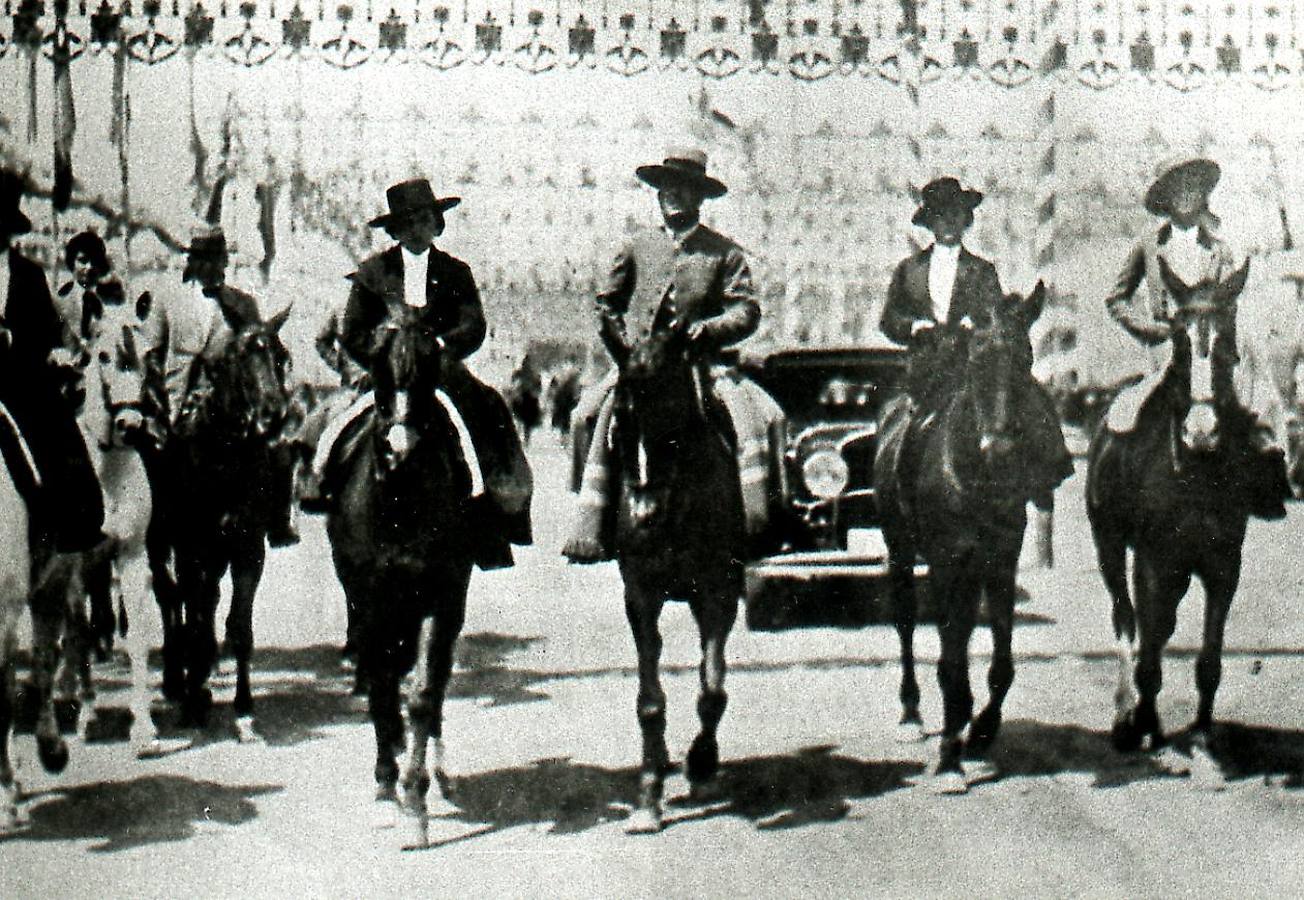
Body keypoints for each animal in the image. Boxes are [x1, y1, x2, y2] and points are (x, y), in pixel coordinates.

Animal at [153, 307, 292, 730]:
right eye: (241, 356)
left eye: (281, 357)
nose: (274, 415)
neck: (225, 456)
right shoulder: (192, 550)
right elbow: (194, 613)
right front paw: (193, 699)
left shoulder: (248, 550)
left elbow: (239, 626)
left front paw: (244, 706)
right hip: (163, 543)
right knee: (172, 598)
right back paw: (178, 679)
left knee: (204, 601)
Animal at [324, 316, 479, 850]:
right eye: (377, 369)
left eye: (431, 369)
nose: (400, 451)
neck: (400, 504)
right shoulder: (370, 603)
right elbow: (382, 689)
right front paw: (386, 791)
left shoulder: (441, 600)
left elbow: (422, 694)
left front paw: (415, 802)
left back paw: (438, 774)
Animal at [607, 319, 745, 829]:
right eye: (621, 420)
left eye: (672, 418)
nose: (644, 514)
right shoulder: (641, 594)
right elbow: (650, 699)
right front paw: (648, 797)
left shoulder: (718, 592)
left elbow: (712, 686)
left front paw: (701, 764)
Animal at [876, 281, 1048, 793]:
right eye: (975, 359)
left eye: (1027, 356)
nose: (1001, 451)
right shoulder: (947, 559)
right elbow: (950, 657)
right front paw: (950, 758)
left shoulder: (1001, 558)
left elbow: (1000, 660)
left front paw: (981, 732)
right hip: (901, 549)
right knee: (908, 623)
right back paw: (911, 713)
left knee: (964, 629)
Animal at [1084, 255, 1257, 782]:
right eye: (1180, 345)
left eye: (1227, 341)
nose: (1202, 432)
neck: (1197, 469)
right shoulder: (1154, 562)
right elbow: (1148, 643)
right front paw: (1149, 727)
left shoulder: (1223, 567)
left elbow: (1209, 659)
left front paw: (1202, 738)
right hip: (1110, 544)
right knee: (1128, 619)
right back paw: (1128, 716)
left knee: (1157, 626)